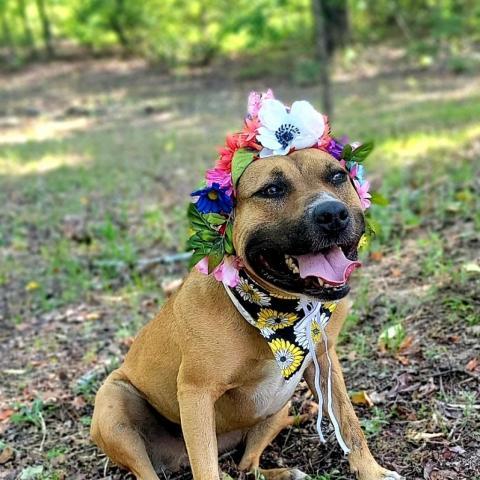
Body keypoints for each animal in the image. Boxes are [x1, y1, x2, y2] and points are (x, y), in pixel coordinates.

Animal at [91, 147, 402, 480]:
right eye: (272, 190)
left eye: (337, 176)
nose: (332, 213)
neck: (282, 310)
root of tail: (178, 459)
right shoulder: (196, 393)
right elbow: (206, 470)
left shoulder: (324, 362)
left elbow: (350, 425)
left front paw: (372, 471)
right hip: (113, 405)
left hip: (278, 409)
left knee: (246, 466)